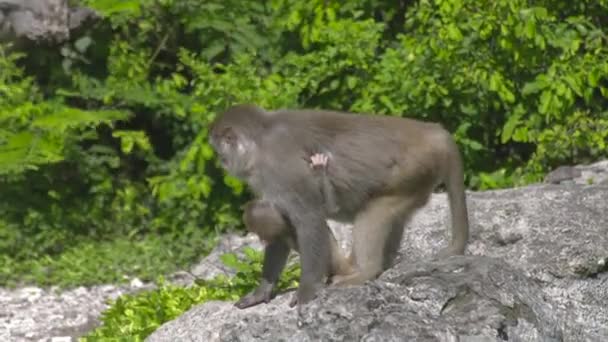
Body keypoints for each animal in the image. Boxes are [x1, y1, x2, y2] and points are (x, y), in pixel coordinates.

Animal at [209, 103, 470, 308]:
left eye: (220, 151)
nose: (221, 163)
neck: (261, 142)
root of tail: (433, 131)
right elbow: (278, 222)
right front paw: (263, 290)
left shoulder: (280, 168)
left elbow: (309, 218)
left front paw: (307, 291)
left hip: (413, 168)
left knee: (375, 212)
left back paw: (366, 271)